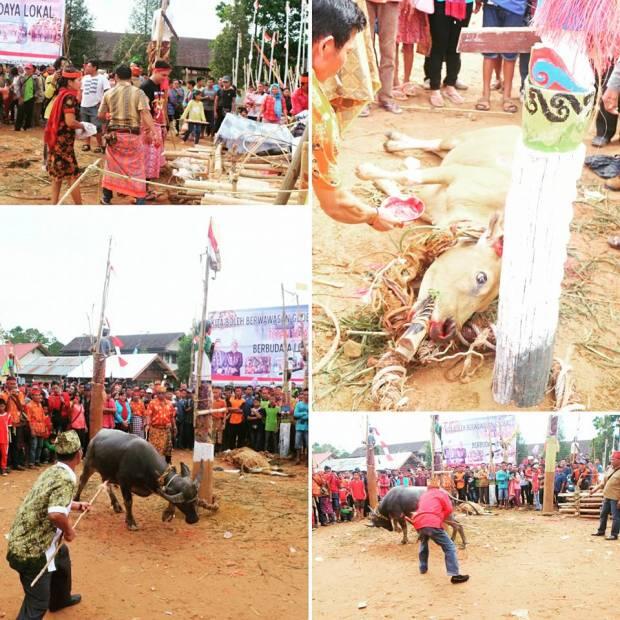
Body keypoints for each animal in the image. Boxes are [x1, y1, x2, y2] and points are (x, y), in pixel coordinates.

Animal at [74, 432, 202, 528]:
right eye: (184, 503)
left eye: (195, 499)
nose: (194, 519)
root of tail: (96, 437)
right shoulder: (124, 483)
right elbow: (129, 502)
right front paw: (130, 522)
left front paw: (168, 514)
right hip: (88, 465)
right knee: (82, 481)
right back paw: (76, 499)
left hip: (107, 473)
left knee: (107, 486)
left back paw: (116, 505)